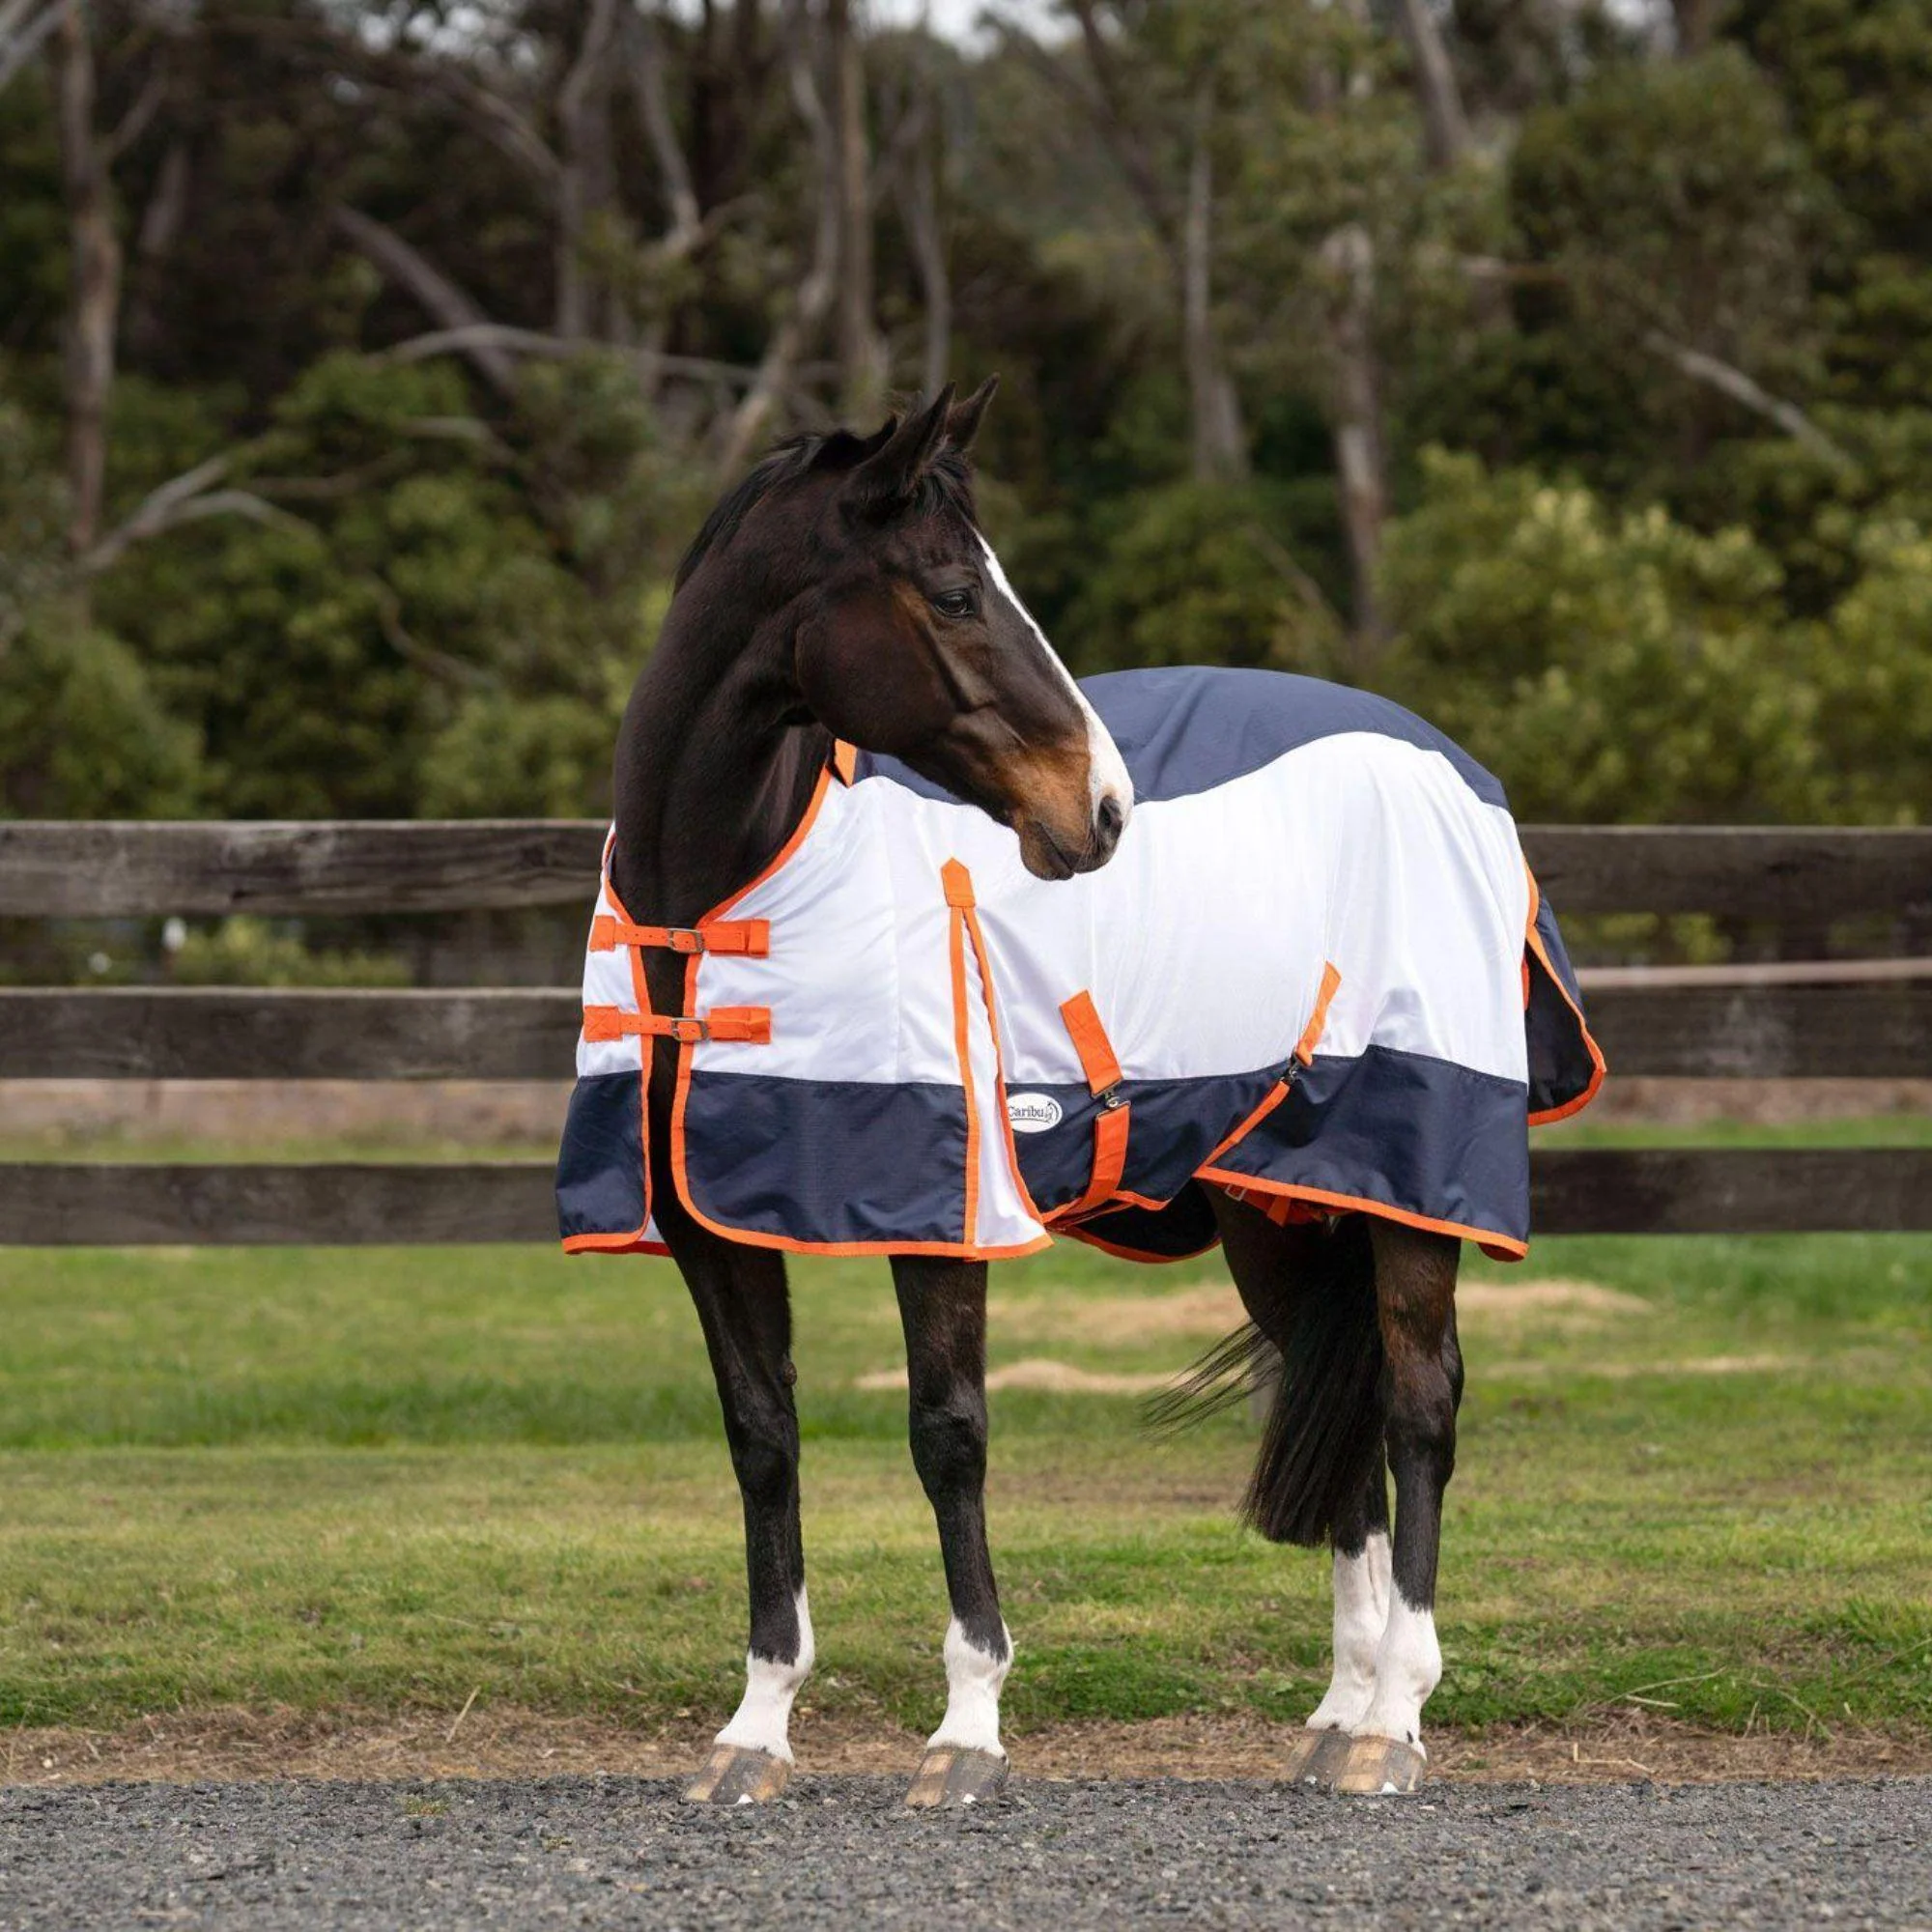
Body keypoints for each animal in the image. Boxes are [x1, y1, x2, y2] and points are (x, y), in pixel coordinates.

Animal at [558, 379, 1602, 1807]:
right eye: (952, 592)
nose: (1101, 809)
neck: (720, 902)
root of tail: (1455, 773)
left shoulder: (941, 1208)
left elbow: (947, 1435)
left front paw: (966, 1731)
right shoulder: (710, 1224)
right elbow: (761, 1439)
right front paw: (755, 1732)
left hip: (1412, 1178)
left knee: (1419, 1406)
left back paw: (1393, 1720)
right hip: (1279, 1199)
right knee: (1337, 1412)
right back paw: (1336, 1716)